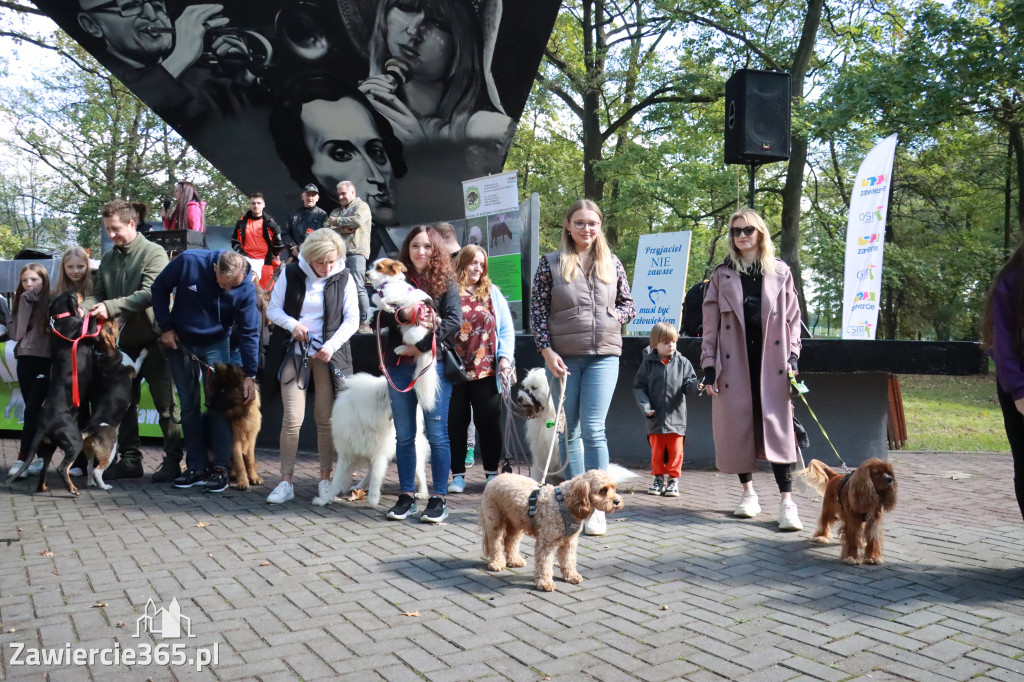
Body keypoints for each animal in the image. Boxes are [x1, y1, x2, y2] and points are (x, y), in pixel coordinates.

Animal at [205, 360, 262, 489]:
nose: (206, 404)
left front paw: (253, 477)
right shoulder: (234, 442)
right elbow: (240, 463)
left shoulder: (251, 441)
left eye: (222, 390)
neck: (240, 414)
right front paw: (243, 482)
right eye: (215, 389)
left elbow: (250, 461)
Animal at [309, 372, 425, 503]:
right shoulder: (346, 454)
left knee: (421, 473)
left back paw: (423, 493)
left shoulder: (379, 454)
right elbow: (336, 480)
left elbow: (376, 477)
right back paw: (360, 486)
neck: (364, 418)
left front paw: (373, 498)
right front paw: (325, 499)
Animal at [366, 259, 438, 409]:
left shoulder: (396, 298)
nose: (366, 274)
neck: (385, 284)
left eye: (379, 268)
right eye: (372, 266)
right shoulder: (377, 307)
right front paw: (368, 318)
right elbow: (371, 308)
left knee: (416, 347)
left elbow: (385, 301)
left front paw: (389, 308)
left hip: (411, 334)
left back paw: (401, 349)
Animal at [479, 466, 622, 589]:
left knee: (510, 542)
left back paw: (514, 560)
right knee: (495, 544)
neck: (564, 503)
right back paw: (497, 563)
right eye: (602, 490)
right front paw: (545, 582)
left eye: (614, 488)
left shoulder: (569, 542)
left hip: (516, 524)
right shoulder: (546, 542)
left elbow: (569, 560)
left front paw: (571, 576)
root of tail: (496, 478)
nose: (617, 501)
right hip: (495, 522)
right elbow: (545, 563)